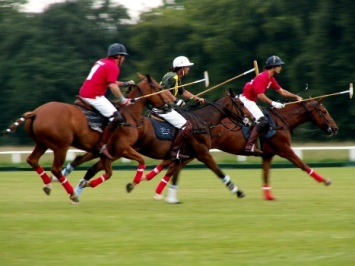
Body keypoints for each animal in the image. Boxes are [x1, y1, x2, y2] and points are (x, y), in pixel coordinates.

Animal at [3, 72, 171, 202]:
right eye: (160, 88)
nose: (172, 103)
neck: (128, 114)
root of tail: (36, 112)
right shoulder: (122, 148)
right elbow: (141, 161)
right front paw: (132, 184)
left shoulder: (105, 153)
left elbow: (107, 173)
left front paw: (85, 184)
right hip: (61, 146)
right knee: (56, 169)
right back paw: (71, 193)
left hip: (42, 143)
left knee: (32, 160)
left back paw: (48, 184)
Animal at [62, 89, 252, 202]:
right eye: (241, 103)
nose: (250, 120)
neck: (202, 122)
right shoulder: (202, 153)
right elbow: (218, 171)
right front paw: (238, 191)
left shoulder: (186, 155)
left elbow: (171, 171)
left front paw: (159, 191)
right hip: (119, 150)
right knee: (92, 165)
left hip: (115, 150)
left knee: (90, 165)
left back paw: (76, 188)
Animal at [143, 98, 338, 203]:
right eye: (324, 111)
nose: (334, 129)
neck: (281, 121)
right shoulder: (284, 149)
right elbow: (302, 164)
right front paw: (325, 180)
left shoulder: (268, 154)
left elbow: (265, 174)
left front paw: (269, 196)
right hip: (200, 150)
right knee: (173, 163)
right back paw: (154, 183)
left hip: (195, 151)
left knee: (174, 163)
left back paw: (155, 184)